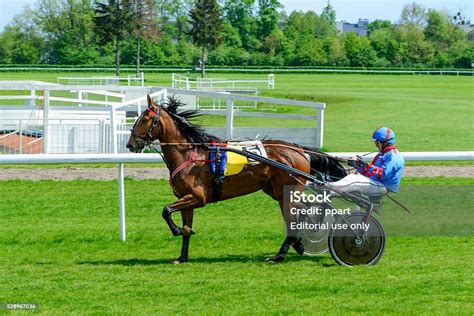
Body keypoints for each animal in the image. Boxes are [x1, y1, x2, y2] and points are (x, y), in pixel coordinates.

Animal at [128, 95, 346, 262]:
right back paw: (295, 245)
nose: (131, 145)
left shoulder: (198, 198)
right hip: (275, 190)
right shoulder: (186, 199)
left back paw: (283, 252)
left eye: (145, 119)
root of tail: (298, 149)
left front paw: (176, 231)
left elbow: (166, 210)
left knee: (302, 211)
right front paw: (182, 256)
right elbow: (186, 228)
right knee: (303, 210)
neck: (189, 155)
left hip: (286, 190)